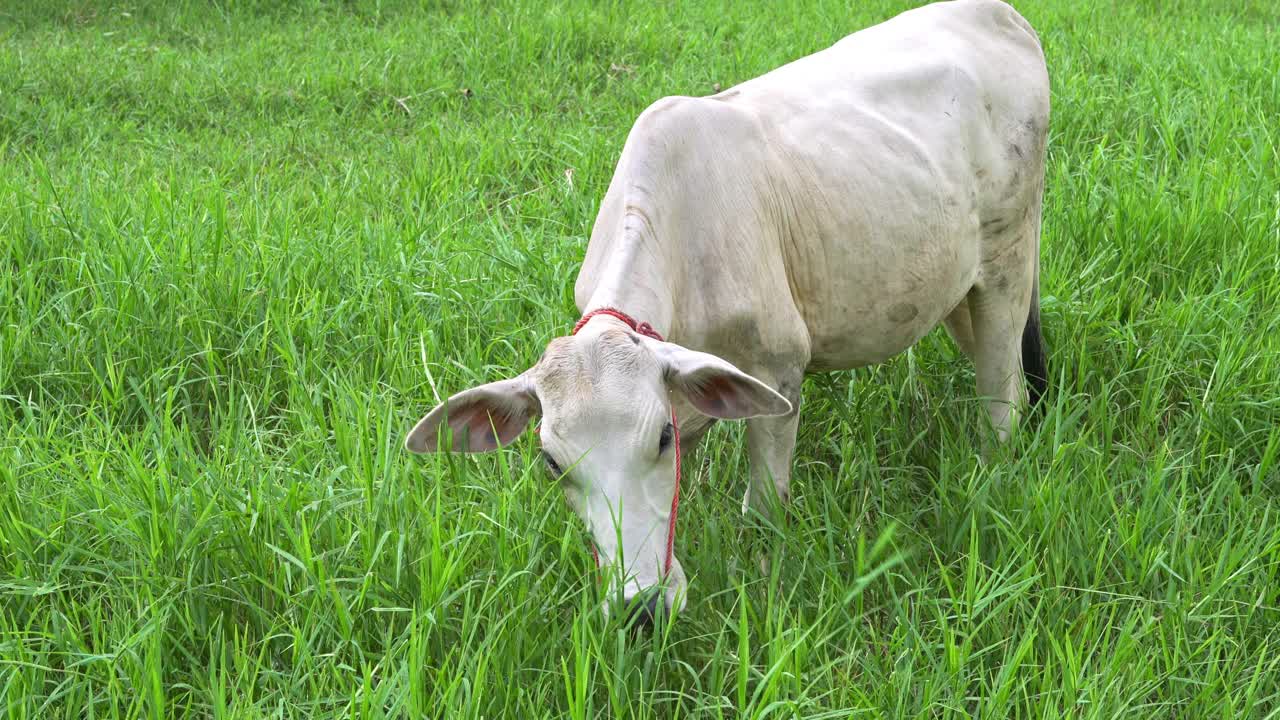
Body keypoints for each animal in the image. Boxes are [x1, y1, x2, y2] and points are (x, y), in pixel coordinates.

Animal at [407, 0, 1049, 625]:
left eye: (661, 437)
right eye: (550, 463)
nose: (642, 608)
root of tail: (1002, 14)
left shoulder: (779, 367)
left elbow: (762, 507)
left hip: (1009, 259)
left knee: (1005, 394)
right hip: (960, 289)